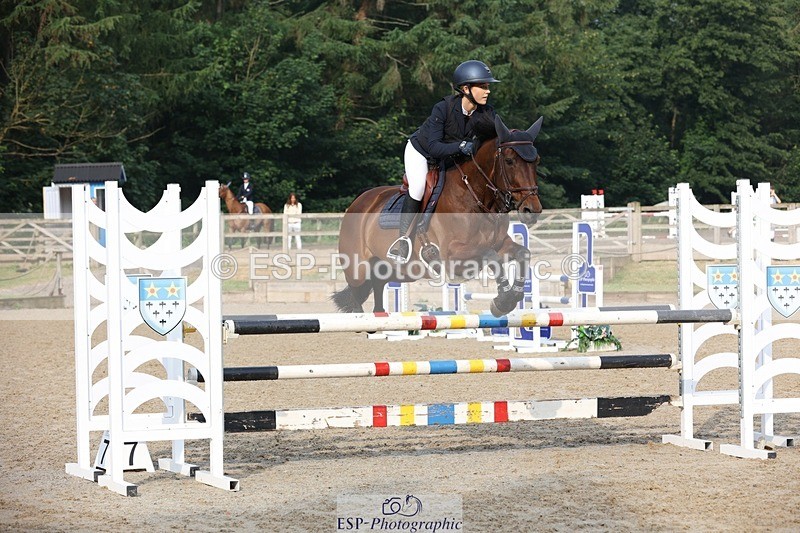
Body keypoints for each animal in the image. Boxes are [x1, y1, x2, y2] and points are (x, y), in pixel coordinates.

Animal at [332, 114, 543, 317]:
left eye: (537, 161)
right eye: (509, 161)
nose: (531, 210)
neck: (476, 199)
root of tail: (359, 201)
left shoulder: (500, 244)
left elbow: (522, 253)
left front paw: (512, 295)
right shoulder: (452, 256)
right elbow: (491, 256)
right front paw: (503, 301)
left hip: (398, 271)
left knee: (377, 287)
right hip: (357, 271)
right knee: (356, 296)